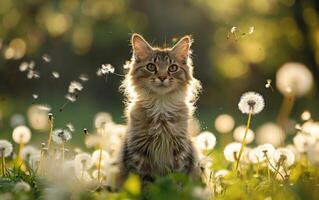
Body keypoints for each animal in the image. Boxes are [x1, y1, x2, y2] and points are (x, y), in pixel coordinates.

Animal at [117, 33, 202, 188]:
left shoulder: (180, 156)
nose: (162, 77)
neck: (161, 108)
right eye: (151, 67)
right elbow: (145, 186)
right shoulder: (139, 156)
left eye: (173, 68)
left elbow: (176, 185)